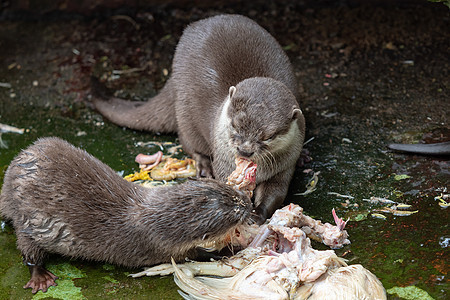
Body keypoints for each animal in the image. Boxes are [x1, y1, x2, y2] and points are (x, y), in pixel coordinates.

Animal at [0, 138, 253, 292]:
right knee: (29, 250)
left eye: (231, 191)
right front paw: (232, 250)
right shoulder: (159, 245)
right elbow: (199, 255)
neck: (156, 219)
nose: (250, 202)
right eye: (235, 207)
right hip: (31, 221)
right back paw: (40, 277)